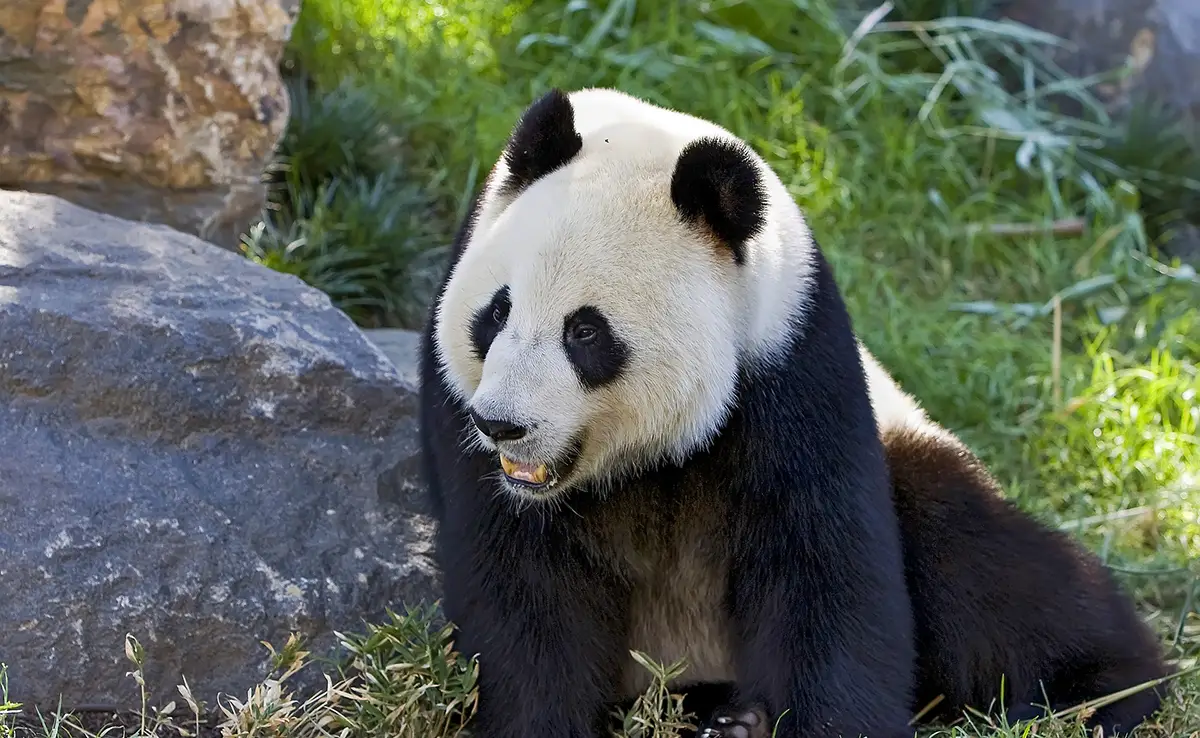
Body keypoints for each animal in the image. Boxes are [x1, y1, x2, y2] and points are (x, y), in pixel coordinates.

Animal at [422, 88, 916, 738]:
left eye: (585, 332)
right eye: (497, 312)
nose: (501, 424)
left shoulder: (792, 366)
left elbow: (825, 569)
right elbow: (522, 593)